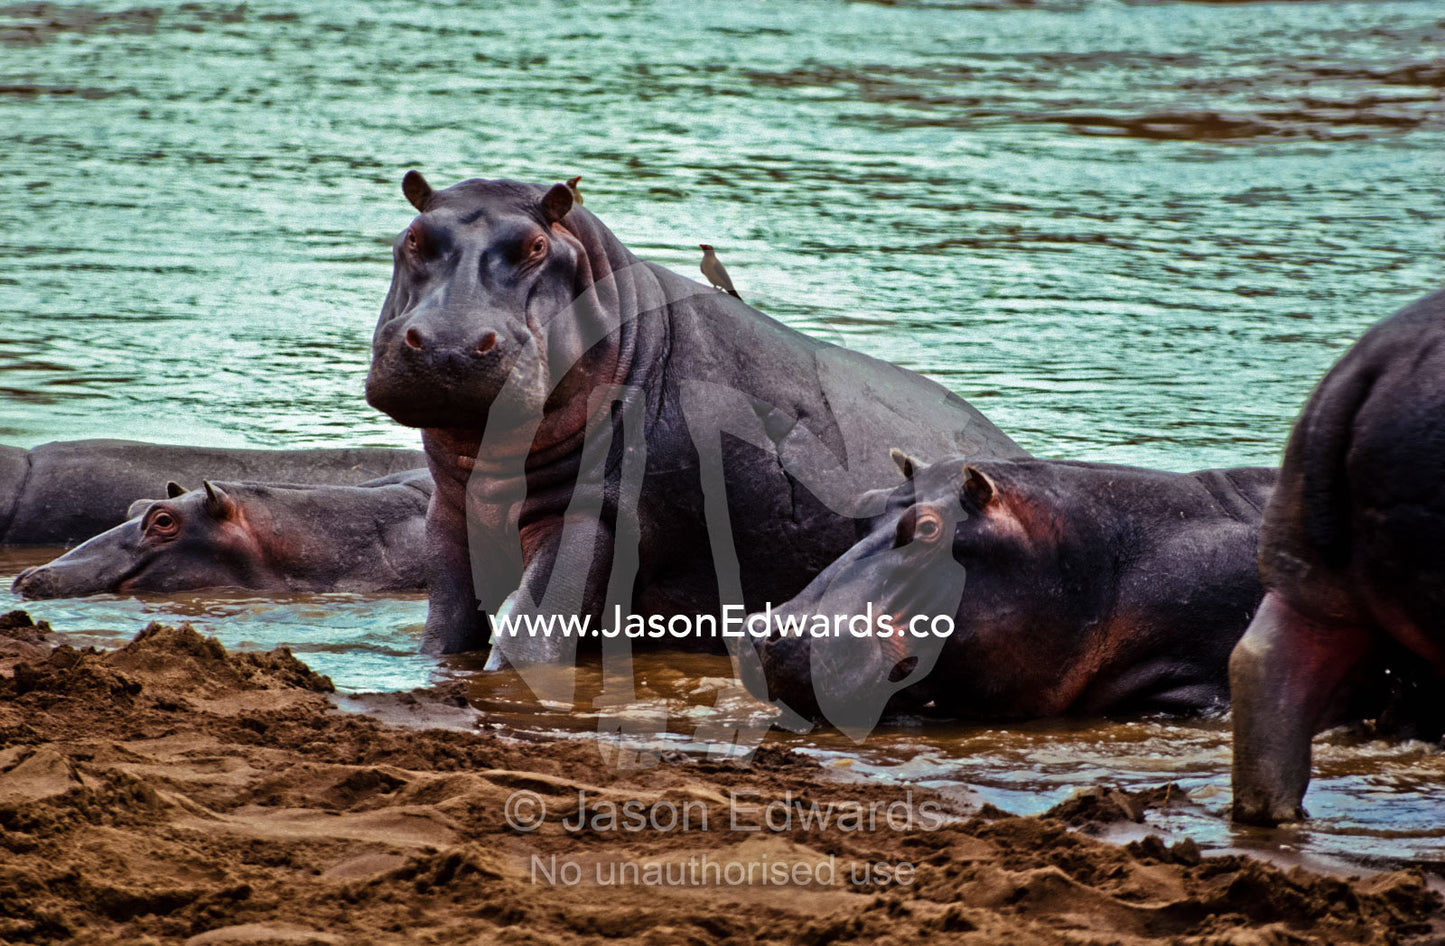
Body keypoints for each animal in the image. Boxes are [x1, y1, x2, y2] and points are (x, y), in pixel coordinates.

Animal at [363, 172, 1026, 684]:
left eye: (534, 246)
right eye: (415, 236)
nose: (449, 344)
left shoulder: (595, 516)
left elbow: (529, 632)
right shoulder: (452, 516)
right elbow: (446, 629)